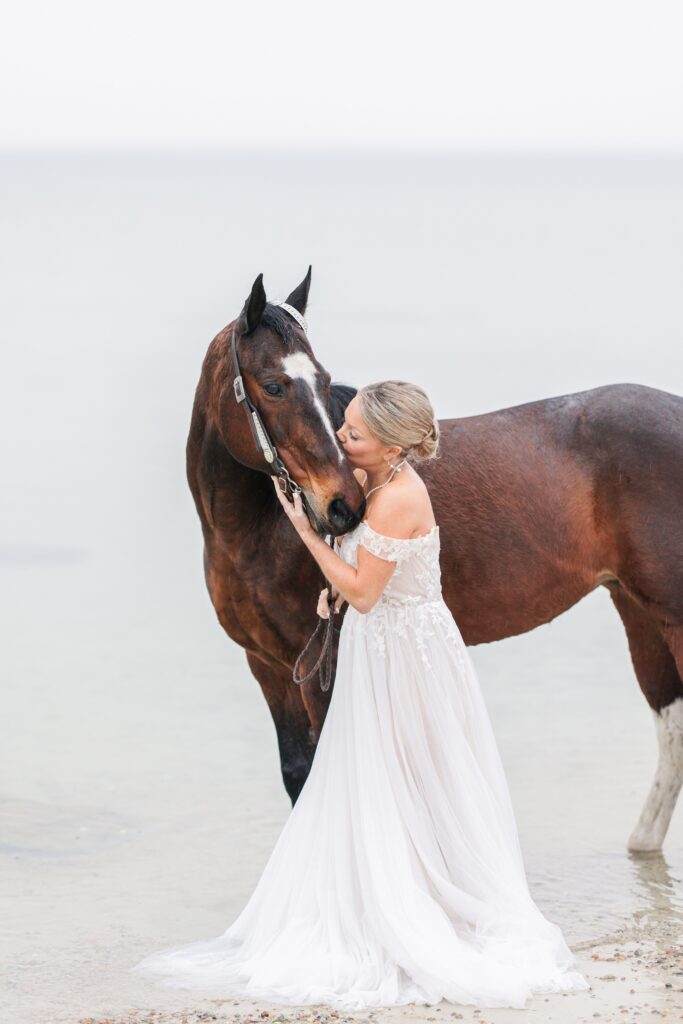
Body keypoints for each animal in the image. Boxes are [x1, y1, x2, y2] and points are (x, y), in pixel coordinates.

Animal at [187, 268, 683, 851]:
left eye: (324, 380)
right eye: (273, 385)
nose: (344, 507)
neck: (252, 533)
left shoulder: (317, 668)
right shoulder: (269, 667)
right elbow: (297, 775)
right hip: (638, 609)